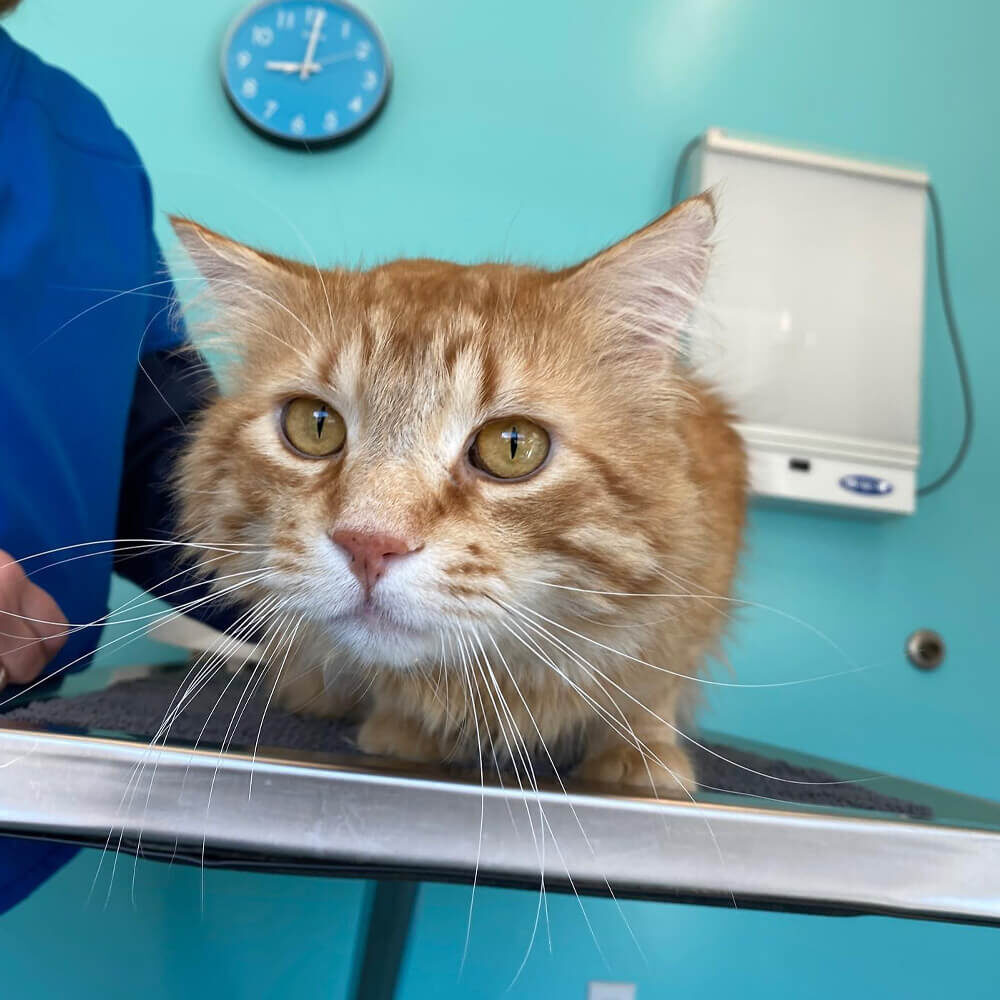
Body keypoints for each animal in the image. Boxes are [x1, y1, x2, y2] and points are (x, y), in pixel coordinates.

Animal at [172, 195, 748, 796]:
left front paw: (638, 755)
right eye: (315, 425)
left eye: (513, 446)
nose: (368, 544)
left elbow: (649, 695)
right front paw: (401, 731)